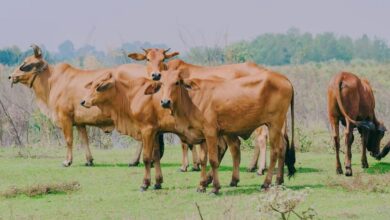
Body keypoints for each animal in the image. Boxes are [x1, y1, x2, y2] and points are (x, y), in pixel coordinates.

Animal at [8, 44, 148, 166]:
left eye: (26, 64)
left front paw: (67, 161)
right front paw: (89, 161)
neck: (51, 82)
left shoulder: (65, 117)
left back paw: (135, 161)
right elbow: (84, 140)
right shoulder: (80, 122)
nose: (10, 76)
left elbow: (69, 140)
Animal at [146, 63, 296, 192]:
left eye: (176, 82)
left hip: (274, 125)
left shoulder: (211, 133)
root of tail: (284, 79)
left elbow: (213, 160)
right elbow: (203, 160)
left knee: (275, 151)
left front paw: (215, 188)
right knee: (282, 148)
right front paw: (202, 185)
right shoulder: (202, 136)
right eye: (162, 83)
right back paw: (279, 180)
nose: (165, 102)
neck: (192, 100)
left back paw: (266, 183)